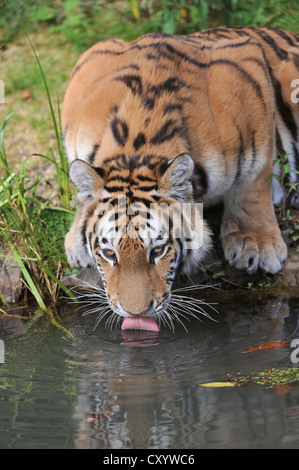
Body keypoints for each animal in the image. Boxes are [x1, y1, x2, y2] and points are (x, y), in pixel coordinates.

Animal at [62, 26, 298, 330]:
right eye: (109, 254)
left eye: (158, 251)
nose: (136, 314)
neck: (137, 146)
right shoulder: (91, 60)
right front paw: (74, 243)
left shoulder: (249, 73)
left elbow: (255, 179)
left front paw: (256, 245)